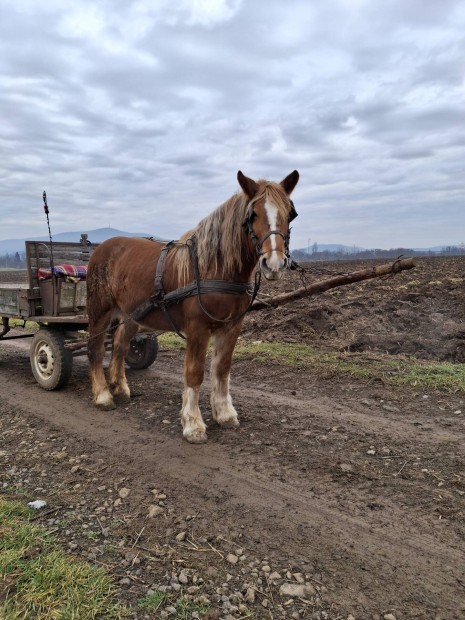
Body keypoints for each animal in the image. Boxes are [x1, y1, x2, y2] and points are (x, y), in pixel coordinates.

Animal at [85, 170, 300, 440]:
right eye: (252, 215)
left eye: (290, 214)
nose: (274, 264)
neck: (216, 267)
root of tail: (101, 247)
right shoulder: (198, 327)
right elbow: (195, 372)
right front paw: (193, 423)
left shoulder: (232, 326)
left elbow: (222, 369)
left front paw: (224, 413)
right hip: (100, 311)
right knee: (96, 349)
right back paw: (103, 395)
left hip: (133, 314)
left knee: (120, 343)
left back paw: (120, 387)